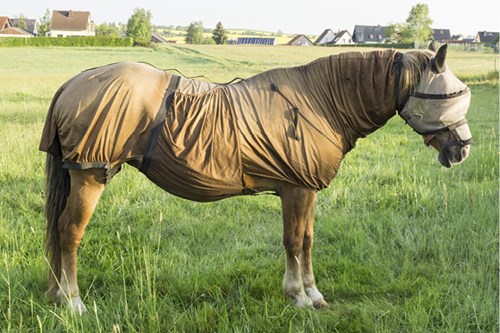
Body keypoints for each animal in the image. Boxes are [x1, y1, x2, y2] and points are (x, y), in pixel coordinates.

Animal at [40, 42, 472, 312]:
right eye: (449, 95)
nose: (463, 148)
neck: (322, 101)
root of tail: (73, 83)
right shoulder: (296, 189)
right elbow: (294, 241)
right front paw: (298, 296)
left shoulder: (305, 190)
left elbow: (307, 240)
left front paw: (313, 293)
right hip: (90, 176)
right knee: (69, 232)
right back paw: (73, 301)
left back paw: (58, 295)